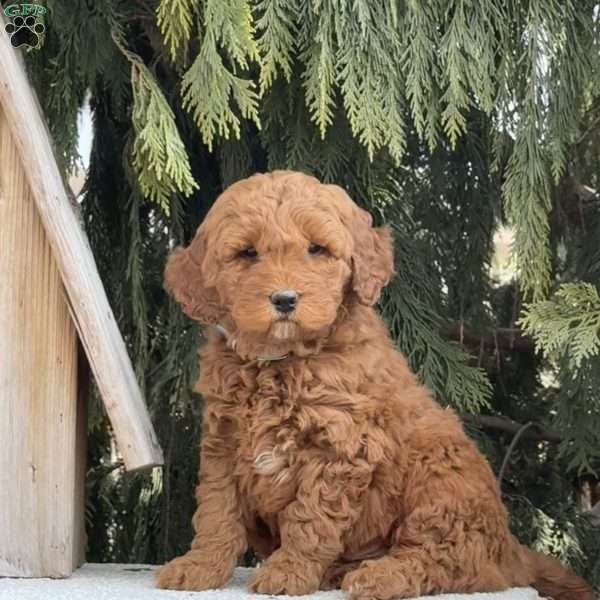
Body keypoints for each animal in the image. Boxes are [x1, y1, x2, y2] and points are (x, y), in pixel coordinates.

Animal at [155, 171, 592, 596]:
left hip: (441, 471)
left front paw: (289, 572)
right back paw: (343, 569)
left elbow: (310, 518)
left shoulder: (339, 448)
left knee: (446, 557)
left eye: (316, 249)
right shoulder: (223, 443)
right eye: (247, 253)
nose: (284, 299)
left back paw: (379, 575)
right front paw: (200, 566)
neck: (280, 362)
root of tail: (509, 547)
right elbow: (217, 512)